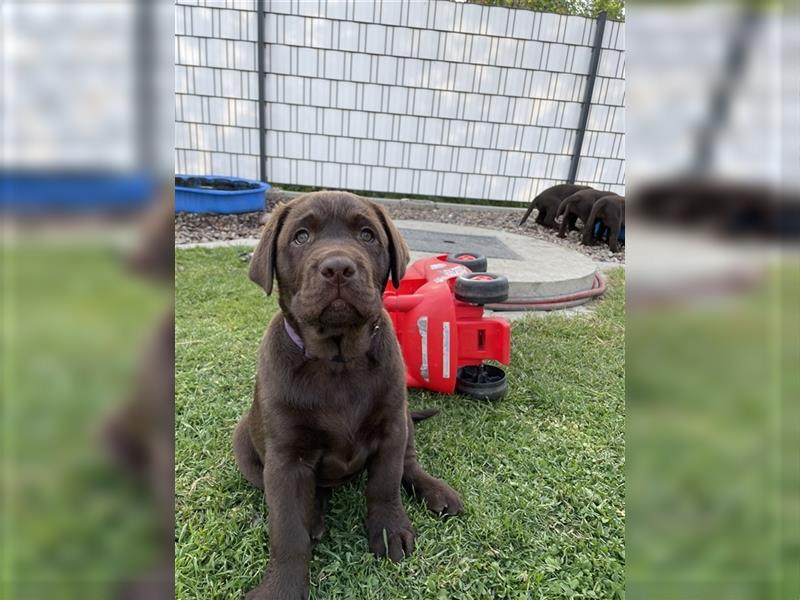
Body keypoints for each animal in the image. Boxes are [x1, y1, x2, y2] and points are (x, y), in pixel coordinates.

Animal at [234, 190, 462, 596]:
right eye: (301, 237)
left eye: (368, 235)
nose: (338, 267)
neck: (338, 361)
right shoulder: (285, 458)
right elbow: (287, 530)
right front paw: (283, 587)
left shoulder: (391, 429)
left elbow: (385, 485)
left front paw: (389, 531)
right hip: (243, 443)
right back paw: (314, 515)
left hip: (405, 424)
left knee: (409, 465)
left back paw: (436, 491)